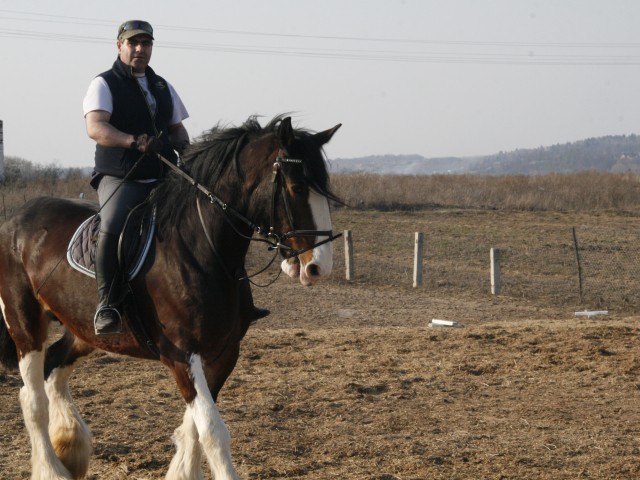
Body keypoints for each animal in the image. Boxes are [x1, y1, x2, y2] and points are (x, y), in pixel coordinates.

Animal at [0, 114, 342, 478]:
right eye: (296, 188)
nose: (319, 267)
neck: (201, 249)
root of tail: (15, 219)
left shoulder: (223, 353)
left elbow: (194, 426)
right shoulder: (181, 355)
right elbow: (212, 430)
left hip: (82, 330)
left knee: (54, 368)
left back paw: (71, 446)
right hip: (25, 325)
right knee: (33, 400)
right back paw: (52, 467)